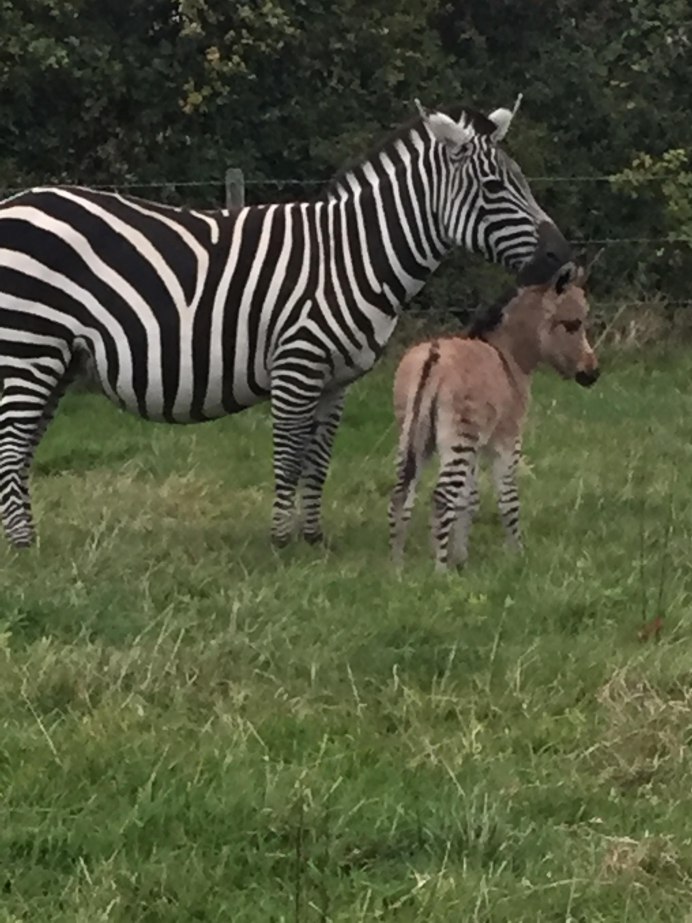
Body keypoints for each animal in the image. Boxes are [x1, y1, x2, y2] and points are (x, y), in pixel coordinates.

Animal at [0, 95, 572, 549]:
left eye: (520, 180)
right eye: (494, 186)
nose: (562, 258)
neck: (351, 257)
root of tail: (15, 203)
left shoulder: (336, 379)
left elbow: (318, 460)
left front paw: (313, 538)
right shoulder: (296, 364)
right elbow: (288, 455)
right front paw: (279, 541)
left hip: (56, 360)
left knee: (21, 449)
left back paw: (24, 539)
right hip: (28, 347)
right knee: (11, 447)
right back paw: (23, 548)